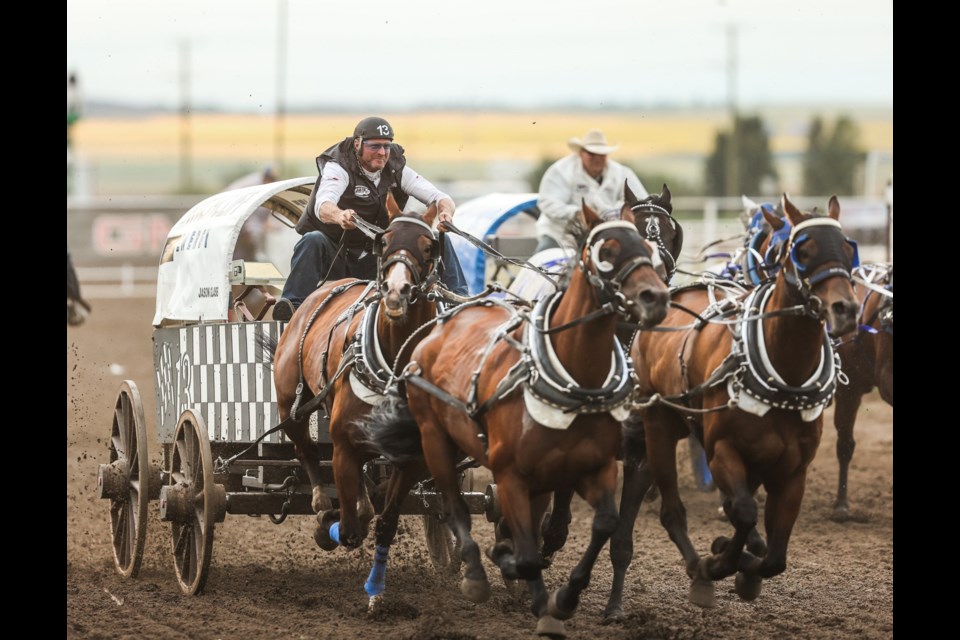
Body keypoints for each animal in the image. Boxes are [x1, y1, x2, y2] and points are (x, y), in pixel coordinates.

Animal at [272, 198, 440, 608]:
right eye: (385, 241)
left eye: (429, 247)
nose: (396, 292)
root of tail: (331, 285)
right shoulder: (343, 445)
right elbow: (348, 529)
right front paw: (324, 528)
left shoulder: (412, 458)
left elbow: (385, 524)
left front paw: (375, 591)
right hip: (291, 406)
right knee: (305, 450)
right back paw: (321, 504)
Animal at [364, 205, 672, 636]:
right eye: (606, 251)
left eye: (666, 245)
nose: (655, 298)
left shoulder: (620, 459)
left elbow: (611, 531)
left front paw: (600, 604)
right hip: (432, 445)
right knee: (425, 500)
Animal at [628, 198, 860, 608]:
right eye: (801, 251)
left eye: (849, 249)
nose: (845, 308)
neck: (785, 377)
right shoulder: (723, 450)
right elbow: (744, 511)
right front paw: (719, 564)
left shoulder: (792, 471)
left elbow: (775, 555)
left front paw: (743, 565)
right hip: (658, 423)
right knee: (672, 510)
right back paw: (699, 568)